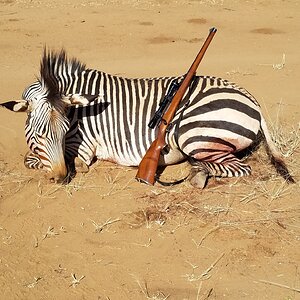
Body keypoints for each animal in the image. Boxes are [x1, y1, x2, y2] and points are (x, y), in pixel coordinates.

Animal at [0, 48, 296, 186]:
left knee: (238, 167)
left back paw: (197, 174)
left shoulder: (81, 149)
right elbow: (34, 158)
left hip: (192, 132)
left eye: (62, 132)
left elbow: (32, 160)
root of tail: (252, 99)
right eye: (40, 134)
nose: (61, 178)